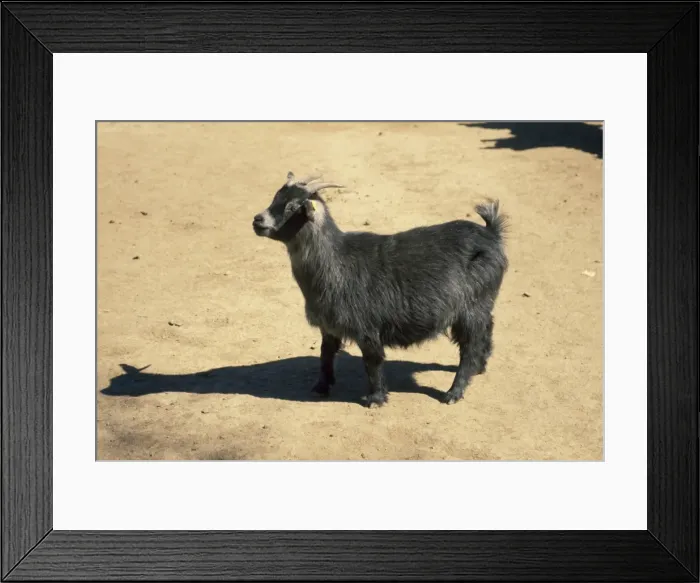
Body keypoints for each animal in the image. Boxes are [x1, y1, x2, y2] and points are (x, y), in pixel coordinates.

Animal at [252, 172, 508, 408]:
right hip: (482, 304)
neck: (336, 261)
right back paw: (480, 366)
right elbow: (325, 355)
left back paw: (454, 392)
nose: (258, 220)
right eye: (276, 197)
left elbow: (372, 361)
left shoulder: (367, 327)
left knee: (469, 347)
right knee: (486, 329)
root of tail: (491, 234)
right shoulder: (329, 326)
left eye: (293, 207)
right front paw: (321, 387)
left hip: (470, 307)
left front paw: (375, 398)